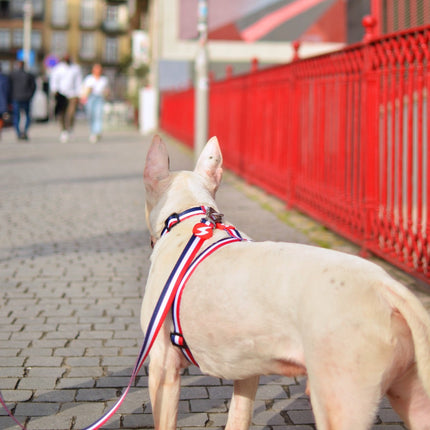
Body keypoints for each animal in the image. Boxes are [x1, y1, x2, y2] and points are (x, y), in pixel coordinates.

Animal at [142, 135, 430, 430]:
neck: (187, 219)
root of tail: (385, 286)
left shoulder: (163, 367)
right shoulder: (246, 367)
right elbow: (238, 416)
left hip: (341, 394)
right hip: (413, 393)